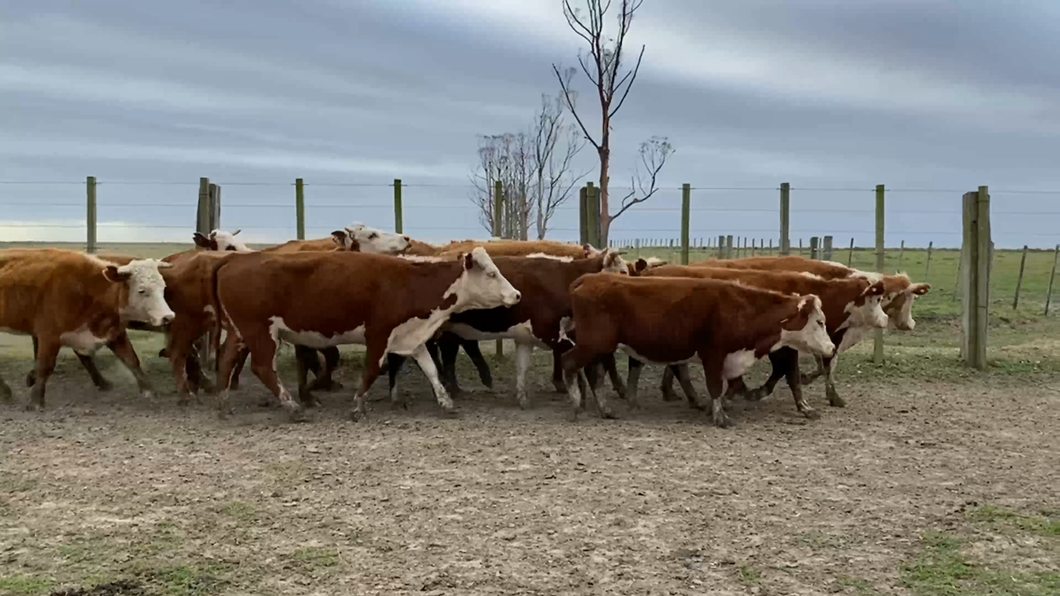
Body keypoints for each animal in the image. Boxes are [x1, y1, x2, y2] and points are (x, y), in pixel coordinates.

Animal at [0, 247, 175, 407]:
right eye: (141, 290)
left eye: (163, 287)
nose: (168, 316)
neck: (89, 289)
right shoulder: (49, 336)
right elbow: (45, 366)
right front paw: (36, 400)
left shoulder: (114, 333)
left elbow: (131, 360)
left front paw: (149, 390)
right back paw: (6, 392)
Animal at [209, 248, 517, 419]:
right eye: (491, 273)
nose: (516, 294)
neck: (408, 283)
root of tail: (234, 260)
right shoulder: (378, 334)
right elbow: (371, 369)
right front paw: (358, 406)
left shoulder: (411, 334)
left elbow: (431, 369)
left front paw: (447, 403)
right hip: (260, 331)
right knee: (263, 368)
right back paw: (293, 408)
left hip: (239, 332)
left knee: (225, 360)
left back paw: (223, 405)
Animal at [559, 273, 831, 426]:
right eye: (819, 321)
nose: (830, 348)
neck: (740, 307)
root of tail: (589, 279)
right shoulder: (713, 354)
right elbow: (715, 386)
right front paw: (720, 417)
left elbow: (728, 386)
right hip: (594, 344)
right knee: (568, 362)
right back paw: (575, 405)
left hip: (601, 348)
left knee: (595, 375)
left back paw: (605, 410)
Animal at [631, 264, 890, 417]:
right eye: (877, 300)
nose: (886, 319)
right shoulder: (783, 347)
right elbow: (791, 373)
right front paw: (802, 405)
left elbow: (809, 370)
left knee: (675, 365)